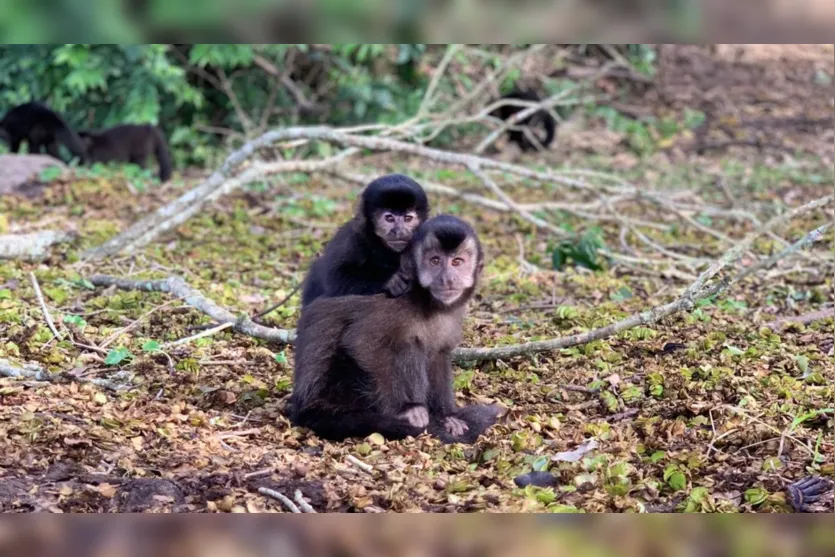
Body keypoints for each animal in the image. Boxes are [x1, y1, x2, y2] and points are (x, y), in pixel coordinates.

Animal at [290, 213, 500, 444]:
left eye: (457, 262)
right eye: (435, 261)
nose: (447, 278)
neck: (425, 301)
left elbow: (439, 355)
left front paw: (447, 416)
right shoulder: (395, 305)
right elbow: (360, 342)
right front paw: (404, 410)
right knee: (407, 343)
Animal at [300, 173, 432, 306]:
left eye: (407, 218)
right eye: (389, 218)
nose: (399, 231)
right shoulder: (353, 238)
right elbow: (335, 280)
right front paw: (390, 281)